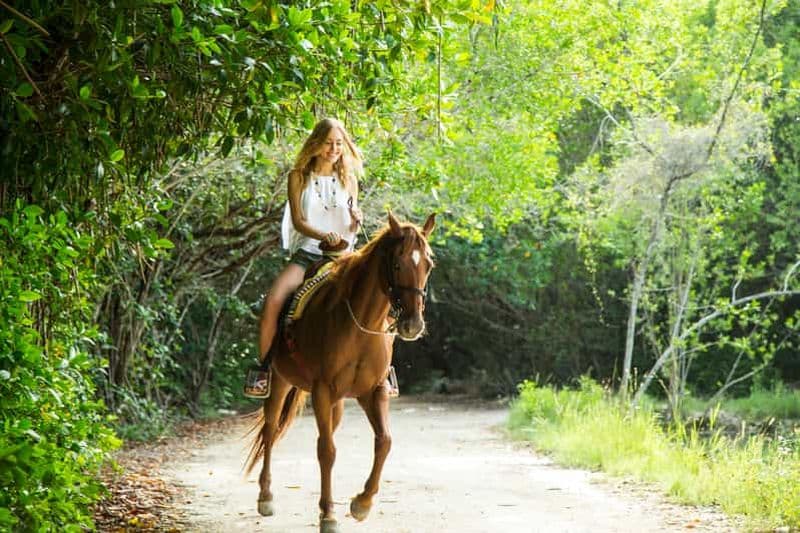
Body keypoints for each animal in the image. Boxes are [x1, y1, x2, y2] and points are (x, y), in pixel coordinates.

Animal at [245, 211, 436, 533]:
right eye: (397, 263)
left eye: (429, 265)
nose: (412, 324)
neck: (360, 323)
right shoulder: (323, 390)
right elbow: (327, 451)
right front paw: (328, 515)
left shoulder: (374, 391)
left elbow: (384, 441)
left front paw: (362, 503)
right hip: (281, 380)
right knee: (271, 429)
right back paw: (266, 496)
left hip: (337, 403)